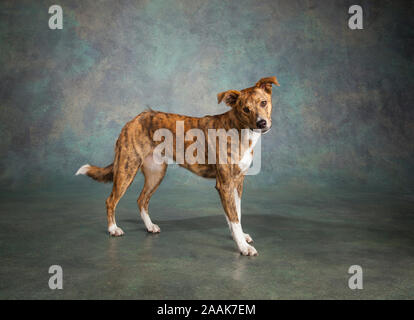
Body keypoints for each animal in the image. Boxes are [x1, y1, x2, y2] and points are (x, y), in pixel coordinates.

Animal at [76, 76, 280, 256]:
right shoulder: (225, 184)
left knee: (141, 200)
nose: (261, 123)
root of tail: (133, 120)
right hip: (127, 169)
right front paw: (243, 247)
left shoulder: (237, 182)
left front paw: (241, 237)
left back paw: (149, 226)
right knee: (111, 200)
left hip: (156, 173)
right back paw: (113, 229)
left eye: (263, 103)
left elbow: (236, 213)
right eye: (245, 109)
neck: (239, 129)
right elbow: (234, 218)